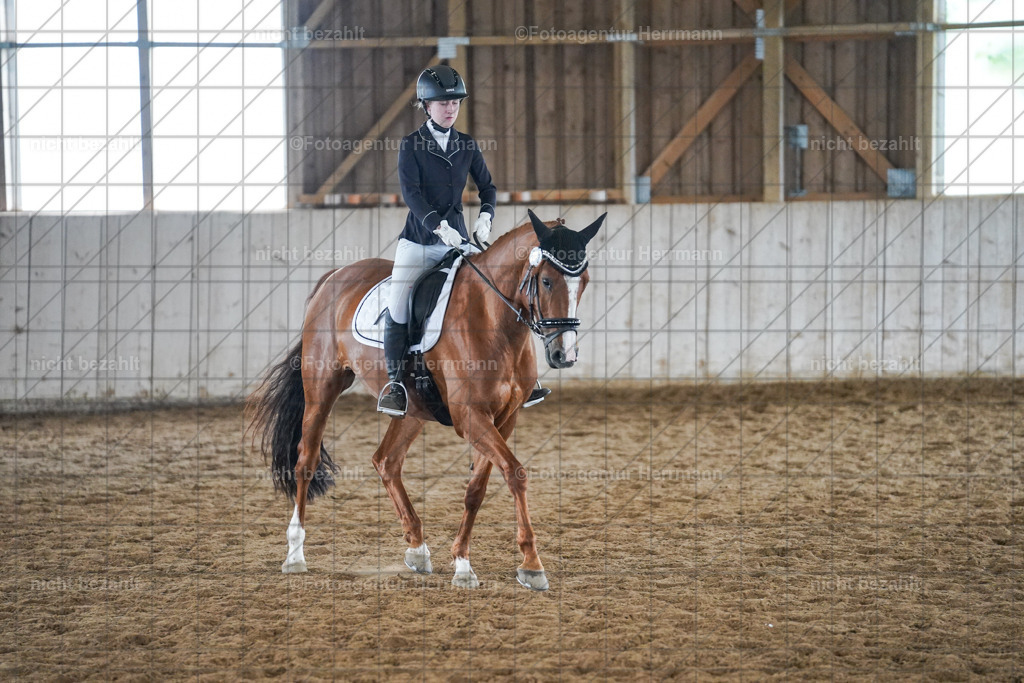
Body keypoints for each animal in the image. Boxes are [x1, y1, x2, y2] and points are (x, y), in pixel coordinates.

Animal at [246, 209, 605, 590]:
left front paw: (462, 562)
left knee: (386, 461)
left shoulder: (504, 419)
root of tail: (335, 275)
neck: (492, 316)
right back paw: (295, 555)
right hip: (322, 388)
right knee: (306, 460)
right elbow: (516, 473)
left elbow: (477, 488)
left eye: (584, 281)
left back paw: (417, 549)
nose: (564, 355)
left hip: (413, 411)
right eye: (547, 281)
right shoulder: (470, 418)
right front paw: (532, 564)